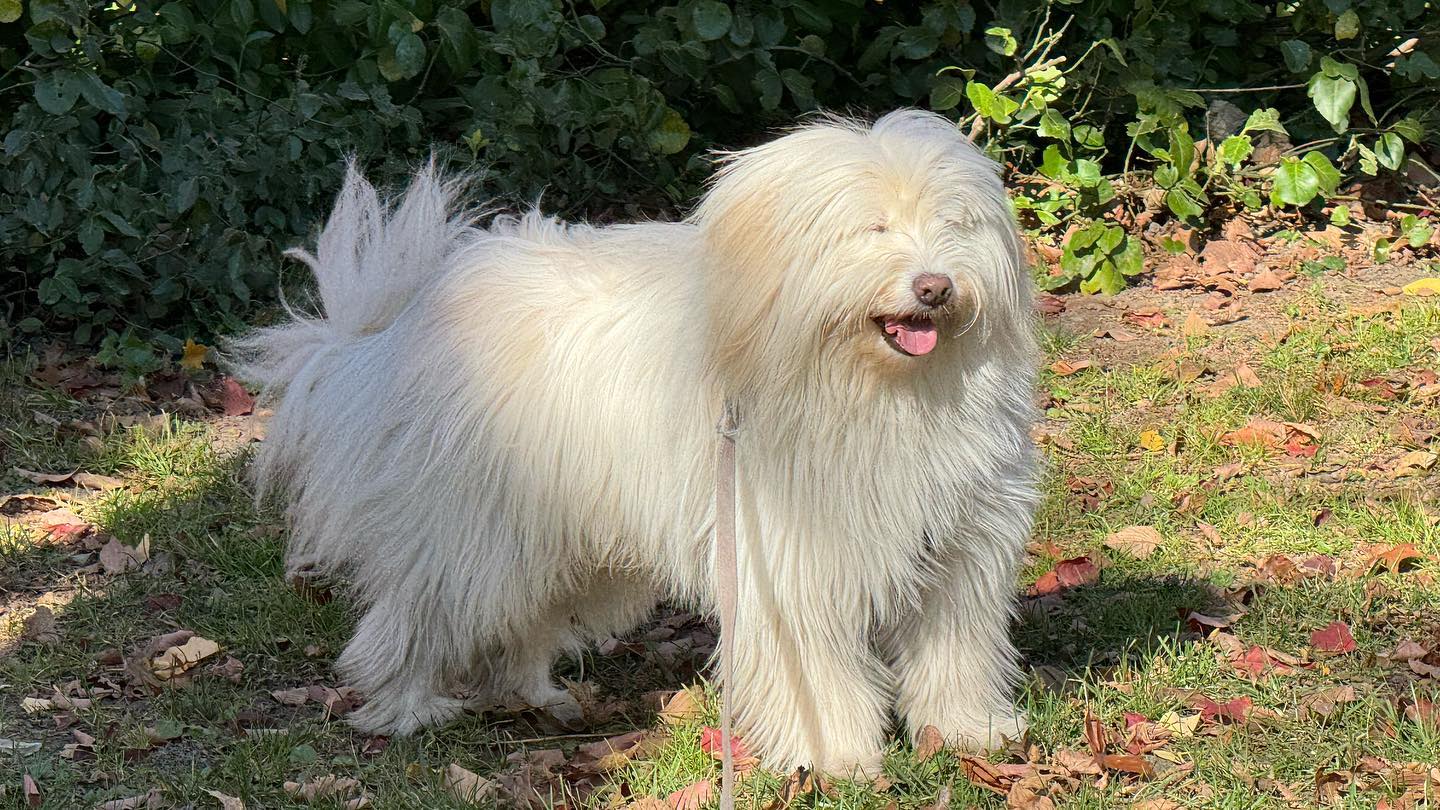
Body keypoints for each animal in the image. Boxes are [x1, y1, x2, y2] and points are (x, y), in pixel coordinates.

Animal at [239, 110, 1048, 772]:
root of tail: (396, 328)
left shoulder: (962, 547)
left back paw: (534, 695)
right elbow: (814, 670)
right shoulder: (789, 556)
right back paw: (407, 705)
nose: (935, 286)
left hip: (559, 538)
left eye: (954, 226)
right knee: (420, 610)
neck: (878, 391)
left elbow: (956, 648)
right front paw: (834, 757)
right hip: (476, 529)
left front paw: (969, 732)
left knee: (515, 625)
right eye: (871, 228)